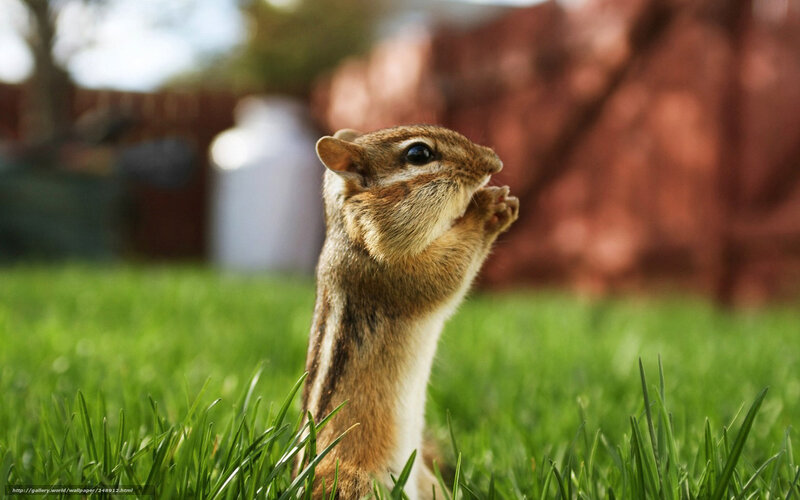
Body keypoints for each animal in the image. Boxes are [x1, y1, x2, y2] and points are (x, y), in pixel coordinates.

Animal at [298, 125, 519, 499]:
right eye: (419, 154)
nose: (496, 162)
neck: (351, 232)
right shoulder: (391, 270)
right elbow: (444, 275)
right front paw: (488, 208)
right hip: (356, 484)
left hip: (429, 483)